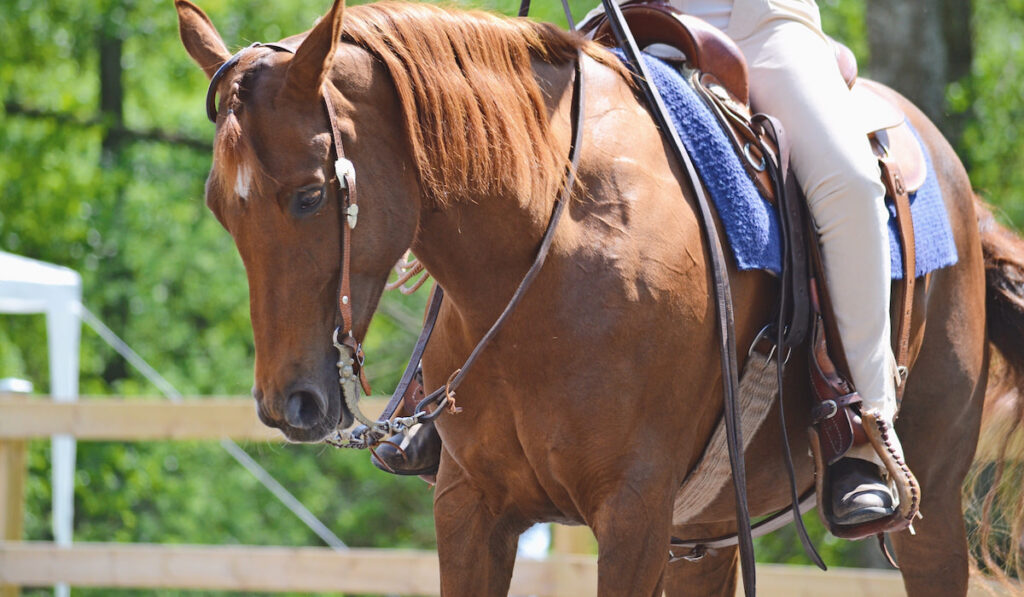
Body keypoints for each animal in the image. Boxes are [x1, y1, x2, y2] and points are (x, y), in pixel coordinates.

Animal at [176, 1, 1024, 593]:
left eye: (312, 195)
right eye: (221, 205)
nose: (290, 403)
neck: (541, 258)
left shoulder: (633, 514)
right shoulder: (471, 507)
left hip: (927, 518)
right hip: (707, 534)